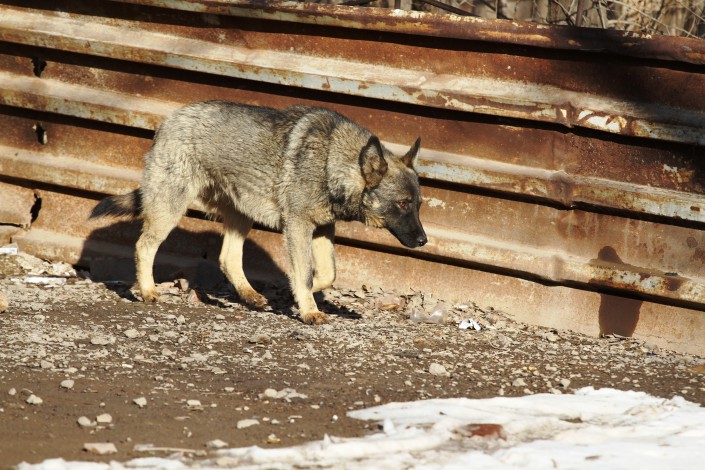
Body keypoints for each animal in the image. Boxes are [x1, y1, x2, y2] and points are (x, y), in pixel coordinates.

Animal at [91, 101, 427, 324]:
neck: (334, 160)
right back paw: (147, 290)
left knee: (228, 258)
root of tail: (168, 120)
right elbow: (305, 274)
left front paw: (298, 296)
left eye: (418, 204)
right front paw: (308, 309)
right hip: (170, 208)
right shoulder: (298, 226)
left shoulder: (321, 229)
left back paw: (250, 296)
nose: (424, 241)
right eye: (403, 203)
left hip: (242, 215)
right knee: (144, 245)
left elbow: (326, 274)